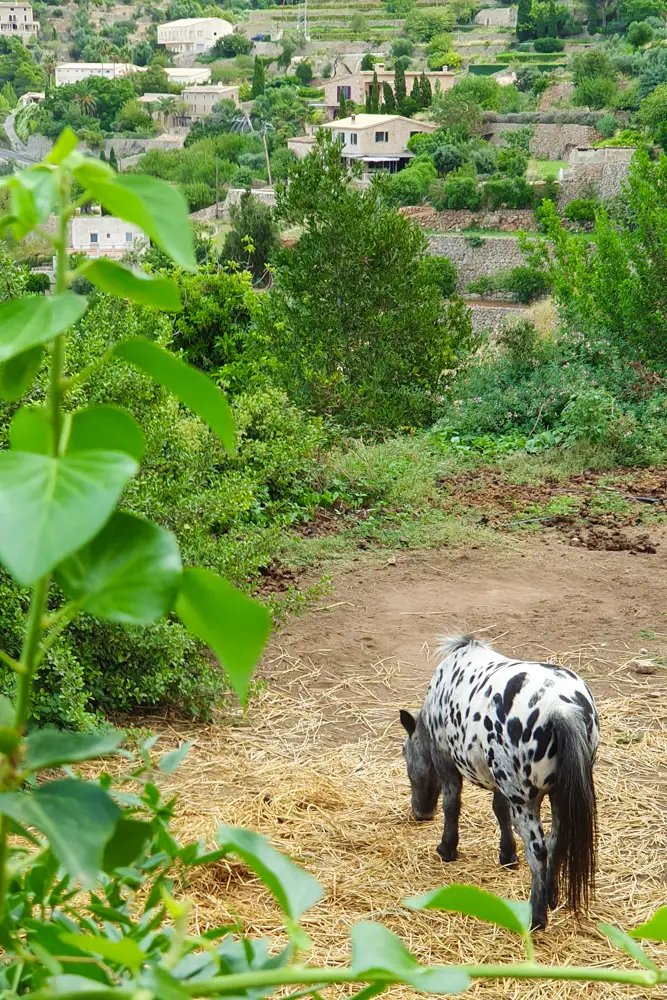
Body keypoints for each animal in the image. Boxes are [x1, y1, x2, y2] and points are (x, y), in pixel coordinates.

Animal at [402, 632, 600, 928]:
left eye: (405, 753)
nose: (420, 813)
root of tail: (560, 708)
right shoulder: (500, 783)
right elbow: (499, 811)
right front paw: (507, 855)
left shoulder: (445, 761)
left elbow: (452, 805)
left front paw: (447, 848)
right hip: (557, 796)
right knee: (554, 841)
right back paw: (550, 897)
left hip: (526, 802)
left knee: (538, 851)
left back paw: (536, 916)